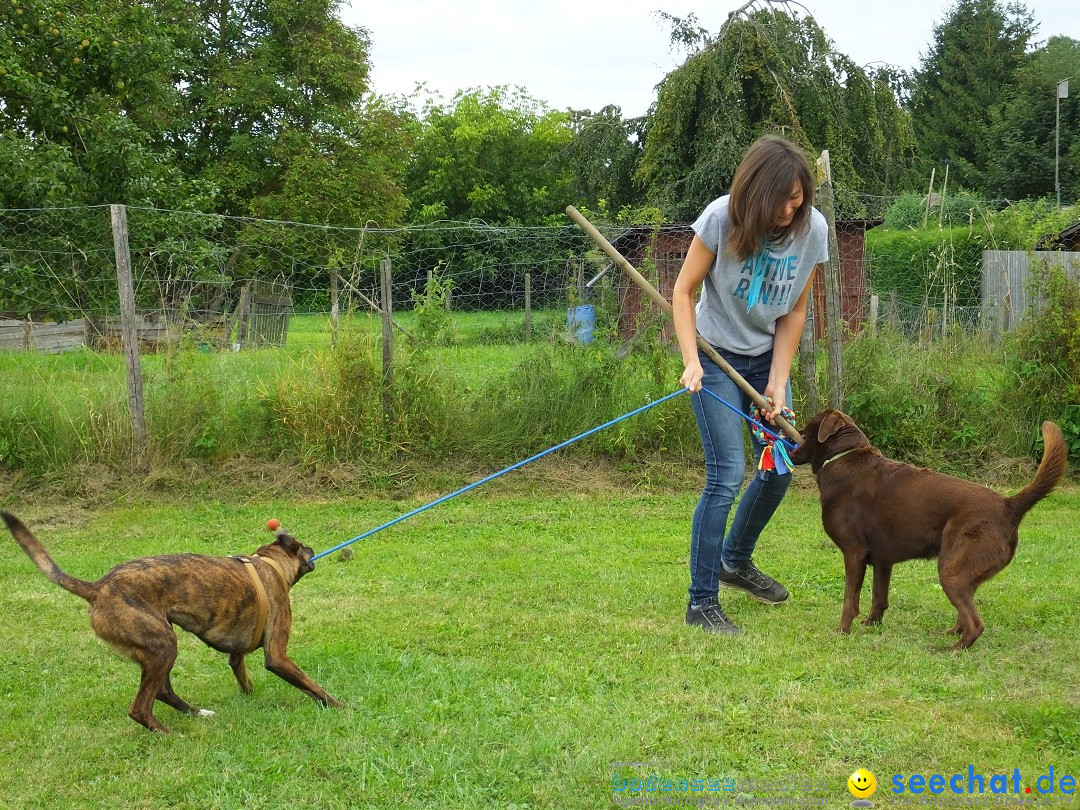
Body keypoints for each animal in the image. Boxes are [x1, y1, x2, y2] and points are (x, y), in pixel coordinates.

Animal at [2, 514, 341, 734]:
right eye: (304, 547)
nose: (313, 551)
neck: (269, 563)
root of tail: (98, 588)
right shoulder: (278, 656)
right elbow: (313, 686)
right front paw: (340, 707)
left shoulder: (236, 654)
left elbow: (241, 672)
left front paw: (249, 695)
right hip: (163, 644)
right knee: (141, 707)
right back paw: (167, 734)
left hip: (156, 647)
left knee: (162, 691)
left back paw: (198, 714)